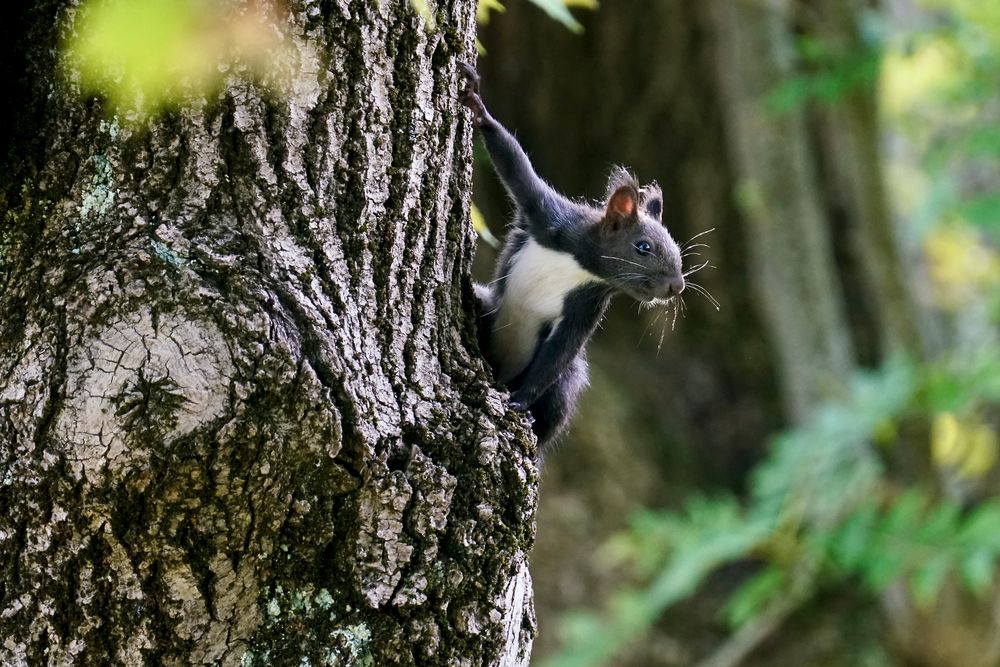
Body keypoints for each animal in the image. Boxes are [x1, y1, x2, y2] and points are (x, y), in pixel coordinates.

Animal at [460, 64, 688, 448]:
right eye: (644, 246)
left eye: (678, 252)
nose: (677, 286)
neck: (583, 265)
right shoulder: (549, 219)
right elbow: (515, 165)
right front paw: (480, 109)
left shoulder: (588, 303)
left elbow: (561, 350)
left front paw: (520, 400)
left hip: (568, 381)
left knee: (556, 401)